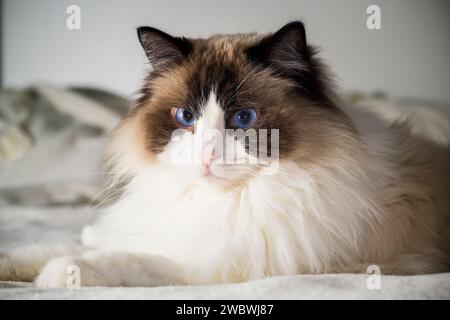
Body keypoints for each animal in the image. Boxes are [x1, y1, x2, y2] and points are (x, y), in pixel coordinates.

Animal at [0, 22, 450, 288]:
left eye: (243, 118)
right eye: (186, 117)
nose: (207, 154)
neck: (223, 204)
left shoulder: (220, 262)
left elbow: (122, 262)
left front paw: (59, 275)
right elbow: (52, 249)